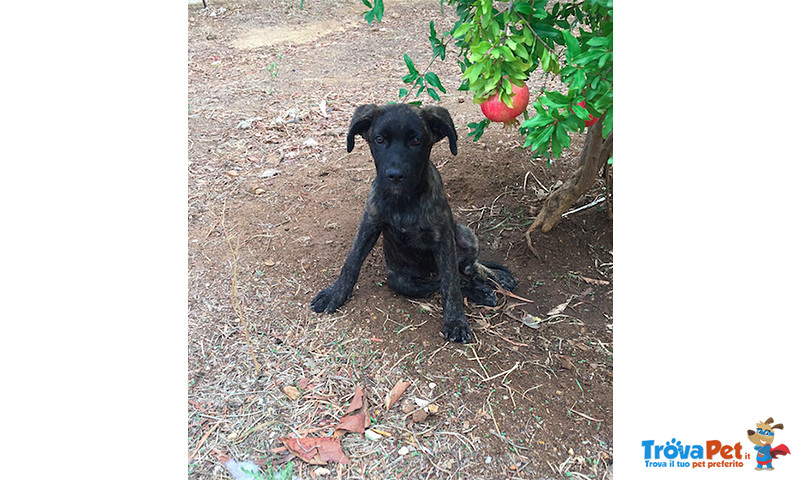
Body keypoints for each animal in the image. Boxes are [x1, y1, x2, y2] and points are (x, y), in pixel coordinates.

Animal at [310, 103, 520, 344]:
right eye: (379, 140)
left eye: (416, 141)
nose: (395, 176)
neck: (403, 201)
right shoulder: (369, 223)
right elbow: (351, 262)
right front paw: (335, 293)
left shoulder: (443, 237)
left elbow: (451, 285)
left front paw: (455, 321)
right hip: (400, 279)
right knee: (451, 279)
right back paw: (481, 289)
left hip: (464, 234)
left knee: (465, 269)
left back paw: (496, 278)